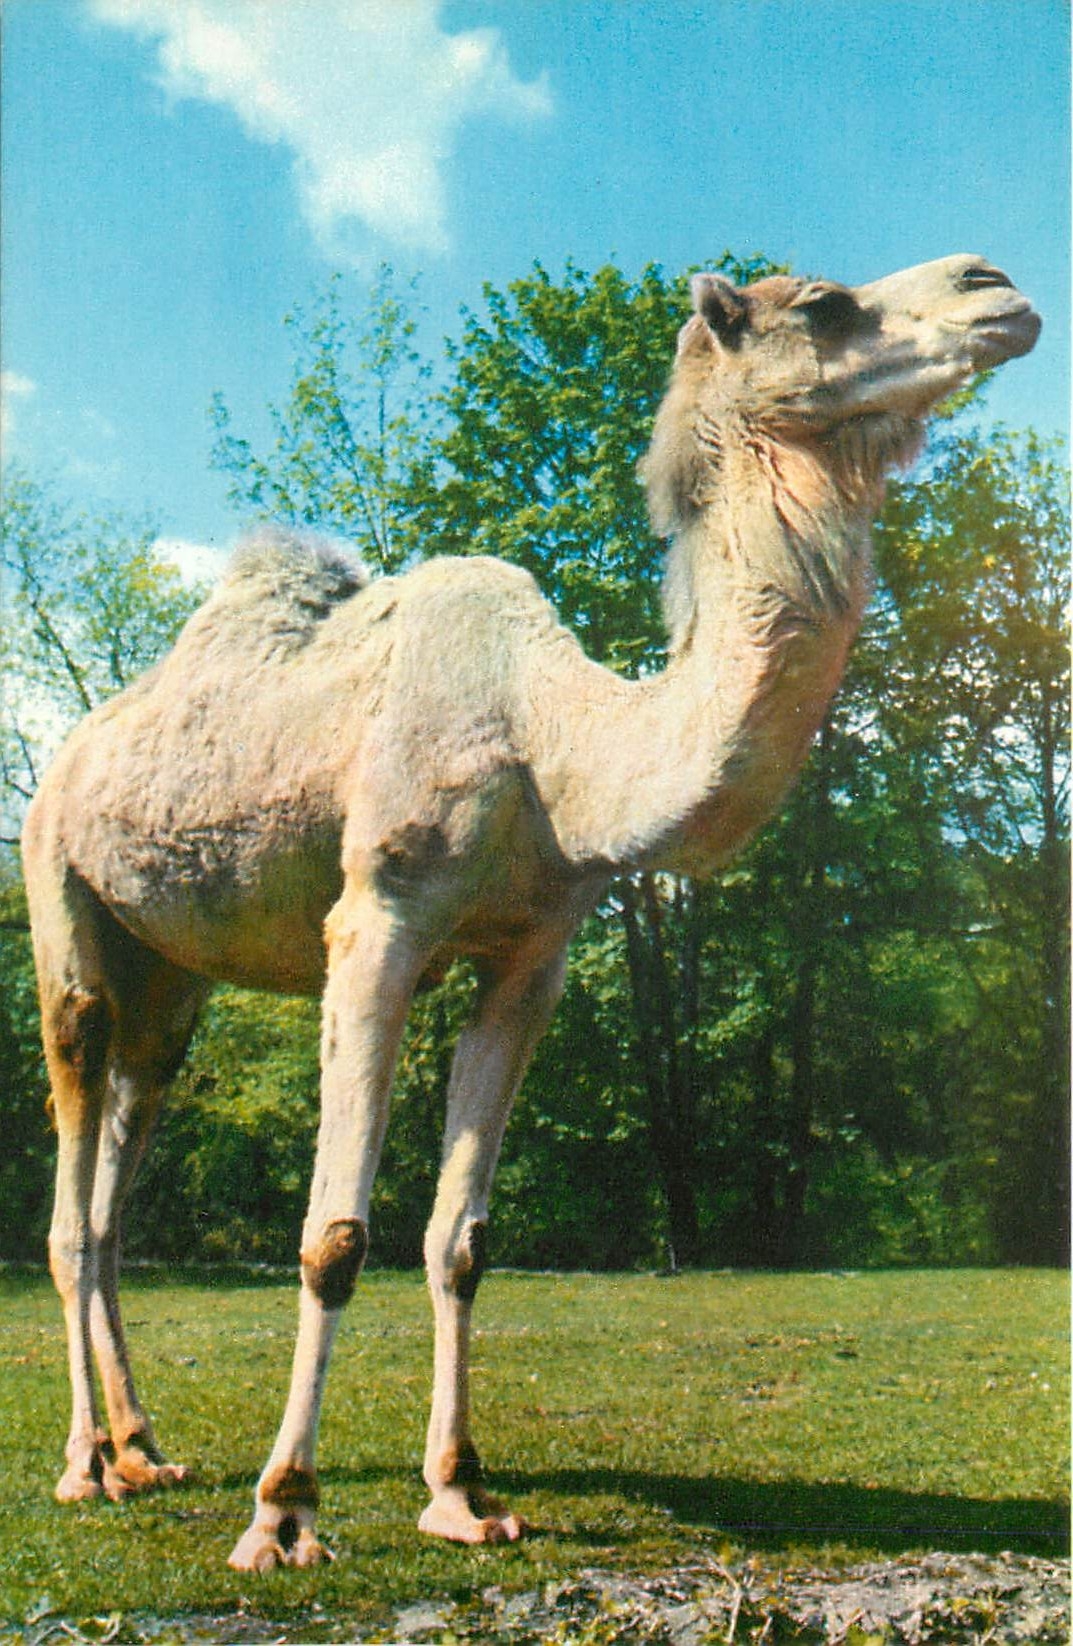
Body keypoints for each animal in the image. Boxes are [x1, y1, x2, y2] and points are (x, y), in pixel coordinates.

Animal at [22, 254, 1039, 1568]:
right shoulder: (378, 921)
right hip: (61, 898)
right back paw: (86, 1466)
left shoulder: (532, 955)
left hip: (171, 983)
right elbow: (333, 1233)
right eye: (821, 305)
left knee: (113, 1194)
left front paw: (461, 1494)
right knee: (69, 1179)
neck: (552, 741)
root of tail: (71, 754)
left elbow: (461, 1238)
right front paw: (284, 1509)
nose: (994, 286)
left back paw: (148, 1446)